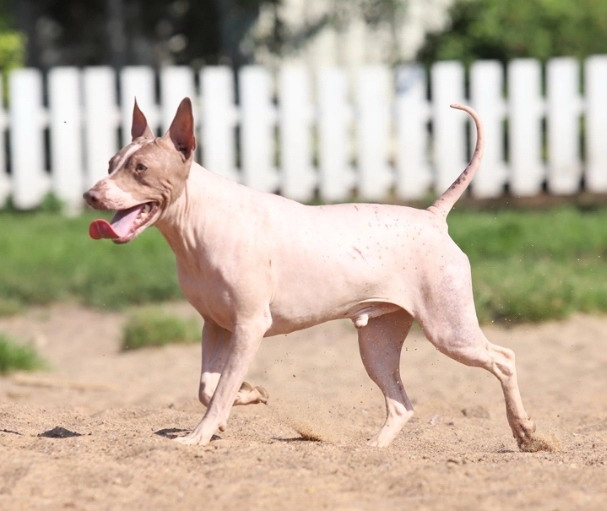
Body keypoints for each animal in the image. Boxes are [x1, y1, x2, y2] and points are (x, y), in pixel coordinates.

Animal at [84, 97, 541, 450]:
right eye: (110, 163)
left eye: (140, 168)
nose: (90, 195)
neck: (199, 223)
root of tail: (433, 218)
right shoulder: (216, 326)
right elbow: (208, 388)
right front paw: (250, 397)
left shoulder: (250, 326)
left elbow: (221, 391)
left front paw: (199, 436)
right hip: (377, 343)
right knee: (402, 404)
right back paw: (372, 448)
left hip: (449, 329)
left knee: (504, 359)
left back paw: (526, 432)